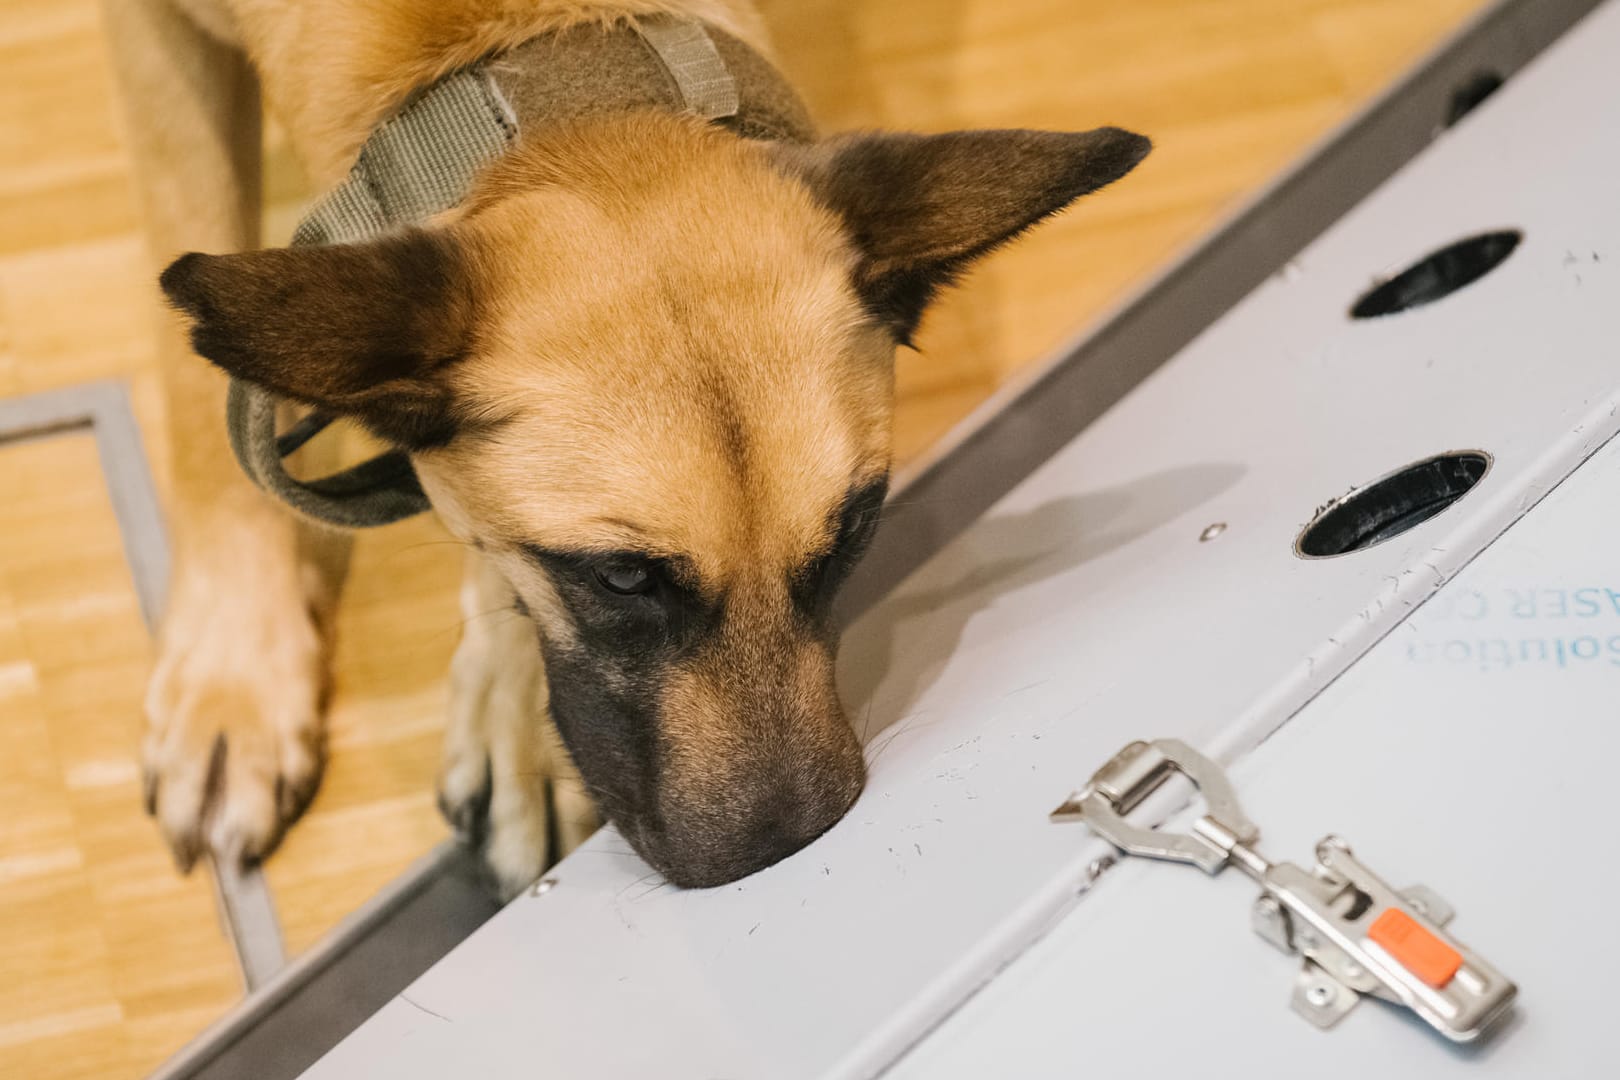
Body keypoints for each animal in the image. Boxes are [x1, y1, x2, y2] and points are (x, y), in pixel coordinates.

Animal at [107, 0, 1146, 893]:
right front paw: (233, 677)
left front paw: (516, 716)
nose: (789, 848)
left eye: (855, 529)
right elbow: (200, 396)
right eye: (620, 577)